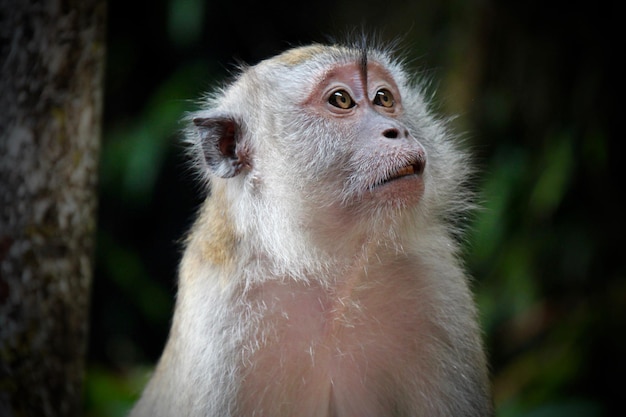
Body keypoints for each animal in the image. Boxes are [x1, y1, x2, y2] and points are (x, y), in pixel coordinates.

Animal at [129, 39, 490, 416]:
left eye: (383, 98)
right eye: (341, 100)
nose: (398, 131)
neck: (328, 271)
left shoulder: (437, 283)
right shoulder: (219, 322)